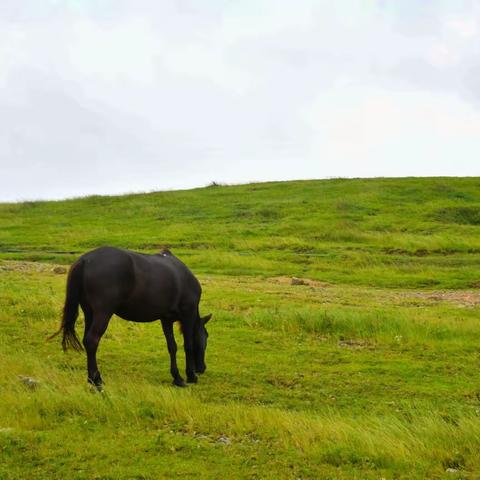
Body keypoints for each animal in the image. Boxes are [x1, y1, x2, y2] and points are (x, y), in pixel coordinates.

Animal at [49, 246, 212, 388]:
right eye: (206, 337)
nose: (202, 368)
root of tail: (85, 260)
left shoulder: (166, 320)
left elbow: (172, 347)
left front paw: (177, 377)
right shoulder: (188, 314)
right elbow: (188, 345)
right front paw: (190, 376)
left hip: (90, 312)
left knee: (87, 341)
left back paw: (91, 379)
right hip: (103, 313)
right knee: (92, 341)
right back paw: (97, 380)